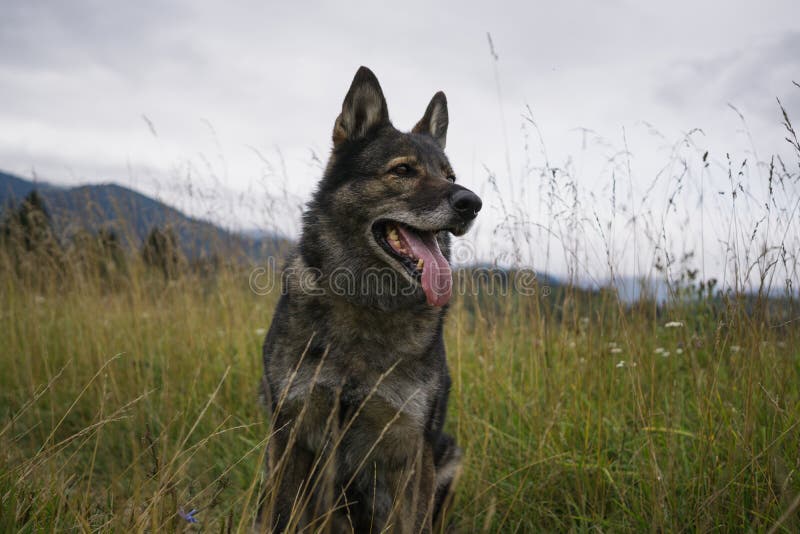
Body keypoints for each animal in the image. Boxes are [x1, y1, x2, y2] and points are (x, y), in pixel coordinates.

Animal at [256, 68, 482, 534]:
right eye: (403, 170)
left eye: (450, 176)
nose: (472, 203)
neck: (367, 302)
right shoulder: (289, 436)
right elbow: (282, 517)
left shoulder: (409, 452)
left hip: (447, 455)